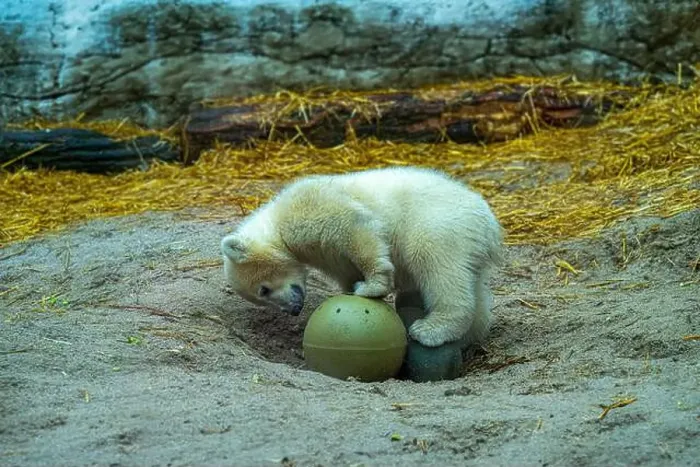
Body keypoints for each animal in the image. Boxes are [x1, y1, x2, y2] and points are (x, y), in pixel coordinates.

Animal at [220, 166, 504, 348]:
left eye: (264, 290)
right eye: (262, 297)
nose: (293, 309)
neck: (277, 221)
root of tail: (490, 226)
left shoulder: (313, 207)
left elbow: (356, 230)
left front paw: (371, 287)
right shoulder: (327, 256)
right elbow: (345, 269)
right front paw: (350, 289)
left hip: (441, 224)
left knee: (437, 264)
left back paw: (431, 329)